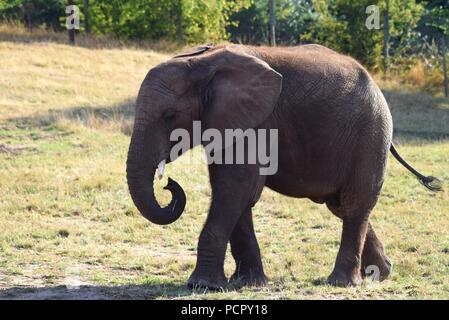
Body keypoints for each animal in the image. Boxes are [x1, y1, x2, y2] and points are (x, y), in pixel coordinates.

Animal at [124, 44, 440, 288]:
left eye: (169, 115)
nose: (168, 185)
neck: (200, 61)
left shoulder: (257, 123)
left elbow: (236, 188)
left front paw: (202, 286)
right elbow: (235, 192)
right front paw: (248, 283)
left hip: (369, 137)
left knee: (355, 205)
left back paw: (341, 283)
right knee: (342, 206)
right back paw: (380, 275)